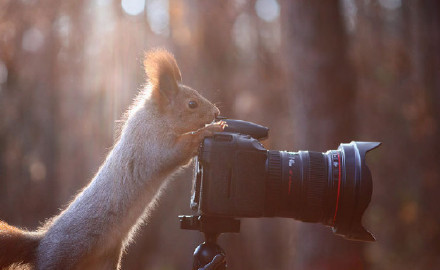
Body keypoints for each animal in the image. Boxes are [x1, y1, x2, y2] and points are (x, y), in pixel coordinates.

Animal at [0, 49, 225, 268]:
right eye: (192, 104)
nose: (217, 113)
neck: (156, 117)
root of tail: (40, 244)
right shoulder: (152, 145)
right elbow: (178, 150)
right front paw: (210, 130)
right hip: (62, 256)